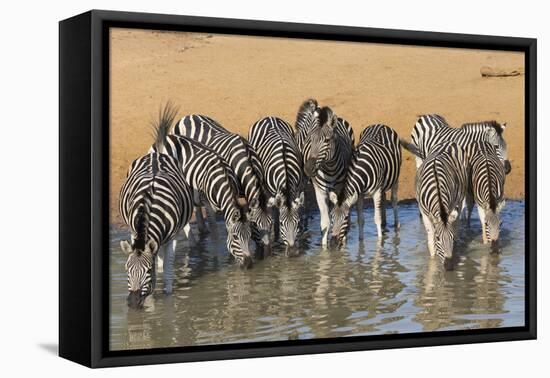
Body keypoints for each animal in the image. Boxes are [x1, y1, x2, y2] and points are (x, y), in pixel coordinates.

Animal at [118, 103, 194, 308]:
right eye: (126, 269)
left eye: (147, 271)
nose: (133, 303)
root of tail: (157, 155)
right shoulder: (134, 231)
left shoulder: (173, 236)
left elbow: (167, 268)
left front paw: (166, 299)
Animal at [152, 107, 253, 268]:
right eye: (236, 237)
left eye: (249, 235)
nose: (249, 264)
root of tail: (166, 138)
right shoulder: (208, 205)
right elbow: (216, 234)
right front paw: (217, 259)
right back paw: (193, 244)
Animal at [171, 114, 272, 254]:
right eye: (255, 224)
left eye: (271, 224)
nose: (267, 253)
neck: (246, 159)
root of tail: (187, 116)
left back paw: (203, 230)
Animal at [250, 117, 306, 254]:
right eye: (282, 223)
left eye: (297, 223)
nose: (293, 253)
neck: (285, 169)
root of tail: (269, 117)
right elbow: (275, 211)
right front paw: (275, 235)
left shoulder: (297, 189)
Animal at [296, 100, 356, 247]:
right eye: (310, 140)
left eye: (327, 140)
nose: (308, 168)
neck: (330, 168)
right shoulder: (320, 191)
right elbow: (325, 223)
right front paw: (324, 249)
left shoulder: (341, 188)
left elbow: (341, 215)